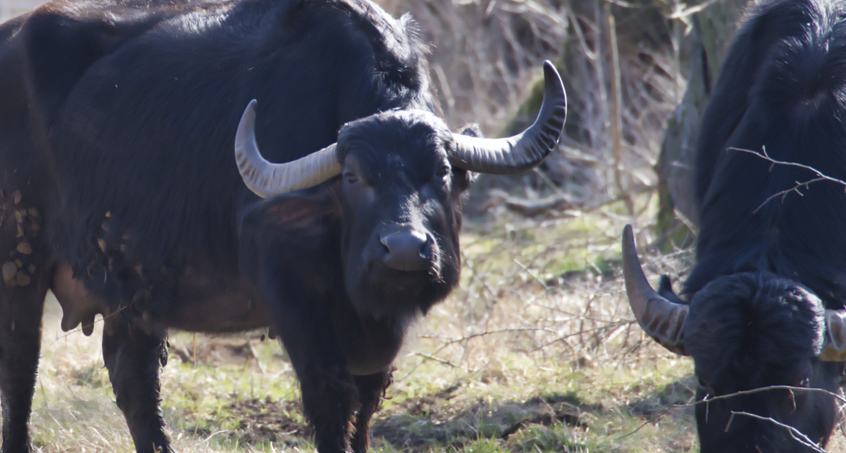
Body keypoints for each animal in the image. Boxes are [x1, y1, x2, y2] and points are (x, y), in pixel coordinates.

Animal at [0, 0, 568, 448]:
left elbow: (366, 404)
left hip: (132, 286)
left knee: (134, 380)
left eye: (442, 172)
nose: (405, 250)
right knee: (21, 368)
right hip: (19, 267)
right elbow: (330, 397)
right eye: (353, 177)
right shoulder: (291, 295)